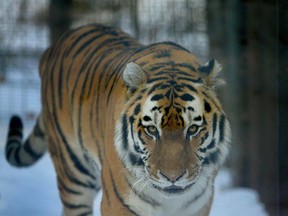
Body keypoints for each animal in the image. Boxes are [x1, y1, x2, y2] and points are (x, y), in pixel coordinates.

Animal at [5, 24, 232, 216]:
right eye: (152, 130)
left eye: (193, 129)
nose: (173, 178)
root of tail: (52, 49)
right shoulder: (118, 203)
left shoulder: (199, 206)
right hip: (74, 173)